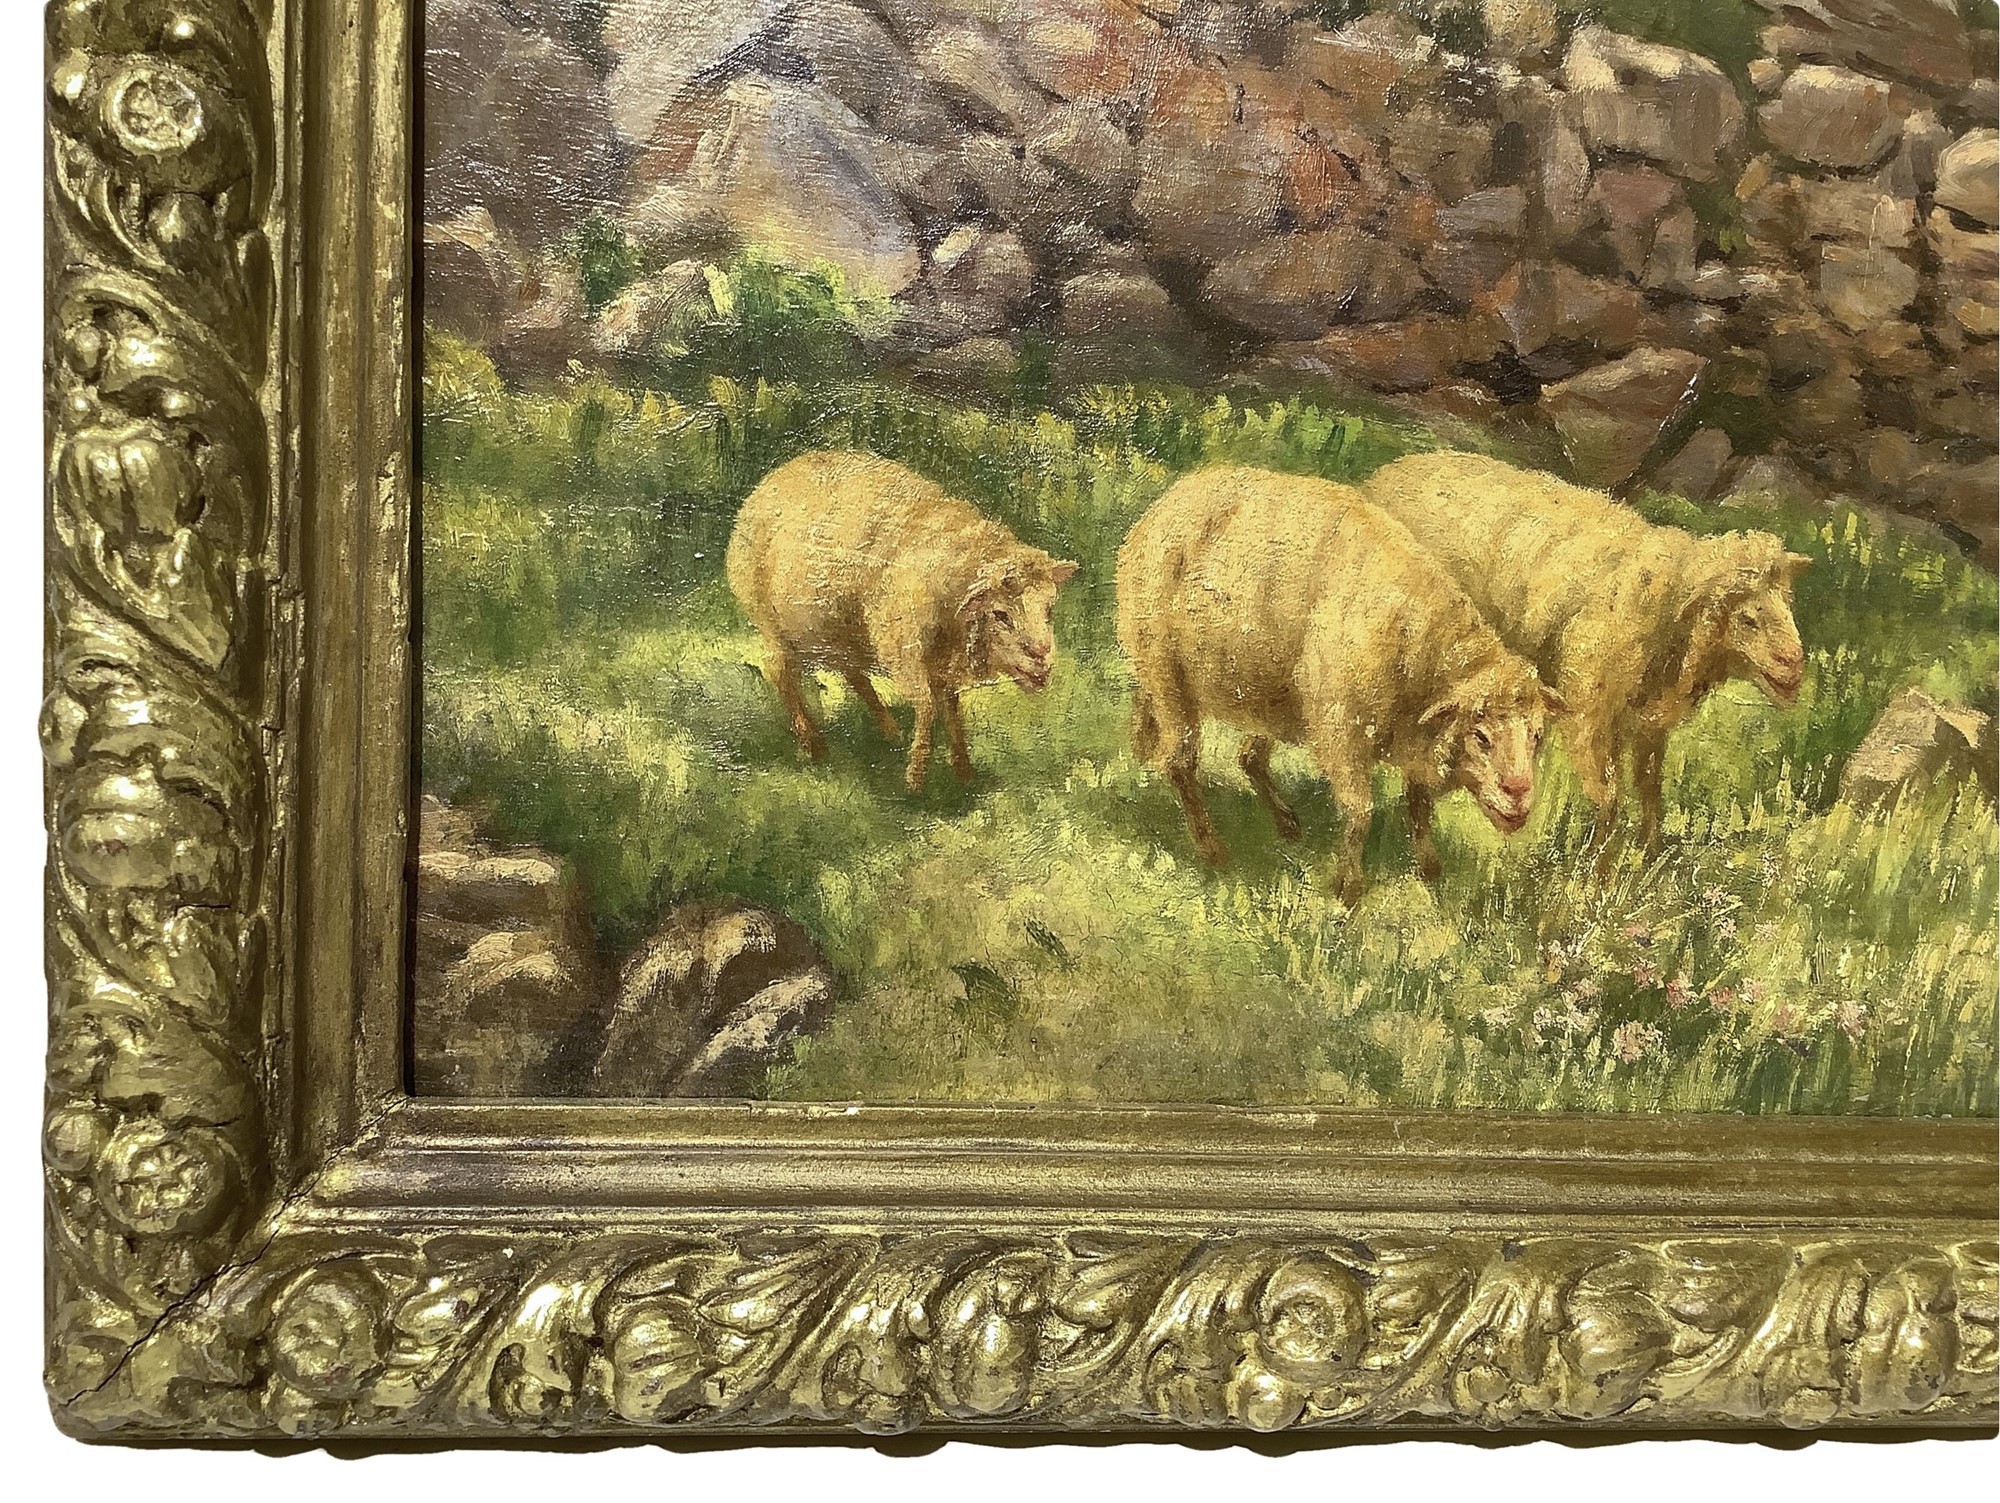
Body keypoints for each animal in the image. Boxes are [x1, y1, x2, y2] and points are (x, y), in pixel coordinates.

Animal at [726, 450, 1078, 790]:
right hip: (774, 626)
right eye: (1000, 614)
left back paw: (889, 731)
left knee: (853, 674)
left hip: (840, 631)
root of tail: (773, 477)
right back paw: (813, 744)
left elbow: (951, 710)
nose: (1041, 657)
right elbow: (926, 707)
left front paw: (964, 773)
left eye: (1049, 609)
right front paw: (916, 780)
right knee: (780, 673)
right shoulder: (904, 650)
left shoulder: (938, 662)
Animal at [1115, 466, 1563, 900]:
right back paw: (1213, 848)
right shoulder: (1342, 733)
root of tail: (1164, 504)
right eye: (1481, 736)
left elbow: (1418, 805)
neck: (1415, 642)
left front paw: (1430, 869)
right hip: (1169, 674)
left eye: (1537, 736)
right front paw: (1348, 888)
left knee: (1242, 755)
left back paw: (1284, 823)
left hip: (1268, 697)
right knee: (1179, 761)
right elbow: (1360, 811)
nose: (1520, 796)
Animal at [1364, 451, 1810, 850]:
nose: (1794, 664)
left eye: (1788, 603)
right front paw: (1596, 875)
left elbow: (1650, 789)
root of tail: (1384, 473)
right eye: (1747, 619)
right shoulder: (1588, 718)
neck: (1663, 600)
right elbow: (1610, 800)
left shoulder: (1647, 726)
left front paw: (1647, 856)